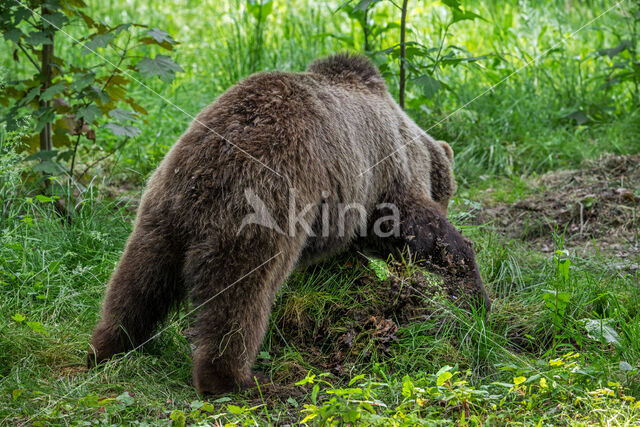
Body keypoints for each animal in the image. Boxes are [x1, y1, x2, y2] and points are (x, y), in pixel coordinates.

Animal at [86, 52, 490, 394]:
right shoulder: (387, 173)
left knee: (139, 279)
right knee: (241, 297)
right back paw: (235, 380)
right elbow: (422, 230)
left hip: (163, 207)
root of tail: (214, 159)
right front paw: (476, 296)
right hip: (265, 203)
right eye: (449, 192)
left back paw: (110, 345)